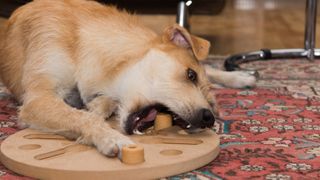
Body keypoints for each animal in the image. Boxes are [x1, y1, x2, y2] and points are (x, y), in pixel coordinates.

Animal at [0, 0, 255, 158]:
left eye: (210, 108)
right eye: (190, 75)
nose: (209, 118)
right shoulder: (38, 99)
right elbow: (82, 116)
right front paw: (110, 136)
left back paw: (239, 76)